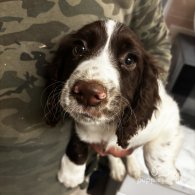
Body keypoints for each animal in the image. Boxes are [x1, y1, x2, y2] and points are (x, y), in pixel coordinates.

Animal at [45, 19, 183, 187]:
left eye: (129, 60)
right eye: (78, 49)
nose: (88, 92)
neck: (107, 126)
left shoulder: (169, 114)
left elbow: (158, 147)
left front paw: (166, 173)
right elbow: (80, 138)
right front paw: (71, 173)